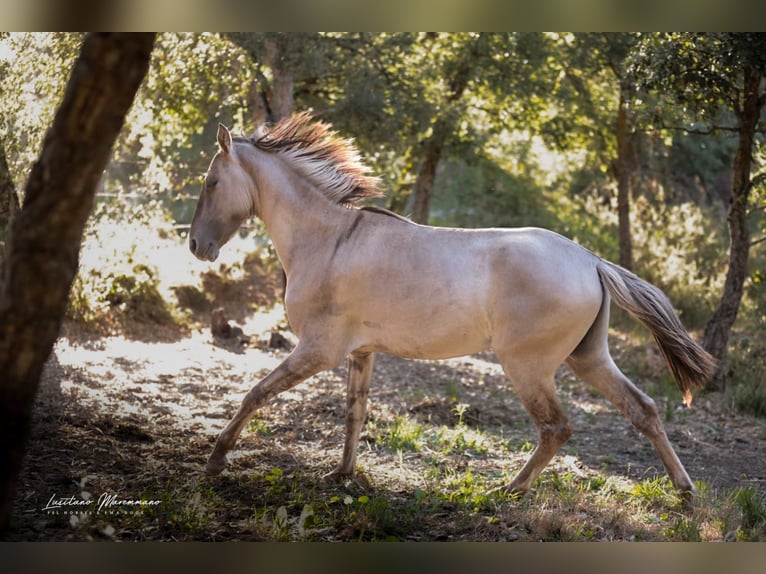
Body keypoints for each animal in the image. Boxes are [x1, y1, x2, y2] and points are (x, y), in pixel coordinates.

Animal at [188, 112, 716, 499]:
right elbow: (354, 413)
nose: (196, 246)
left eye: (211, 182)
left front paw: (215, 461)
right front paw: (343, 475)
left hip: (528, 366)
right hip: (589, 357)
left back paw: (508, 490)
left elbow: (256, 394)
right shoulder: (361, 353)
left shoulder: (317, 351)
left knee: (556, 428)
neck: (328, 240)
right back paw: (685, 492)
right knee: (643, 410)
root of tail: (590, 260)